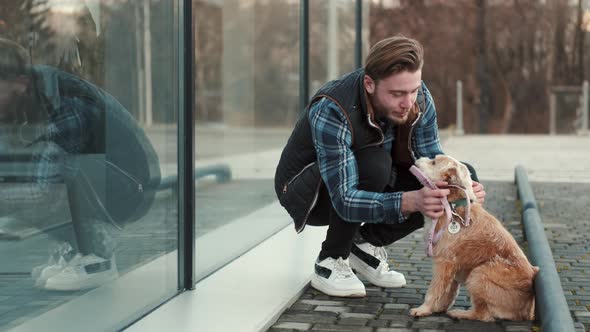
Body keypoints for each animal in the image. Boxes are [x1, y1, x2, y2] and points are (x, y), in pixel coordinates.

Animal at [412, 155, 540, 322]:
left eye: (433, 162)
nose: (418, 157)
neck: (452, 206)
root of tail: (528, 311)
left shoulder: (444, 262)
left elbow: (435, 290)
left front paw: (424, 309)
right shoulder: (451, 268)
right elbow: (448, 292)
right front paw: (438, 308)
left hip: (479, 274)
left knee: (482, 314)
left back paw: (460, 313)